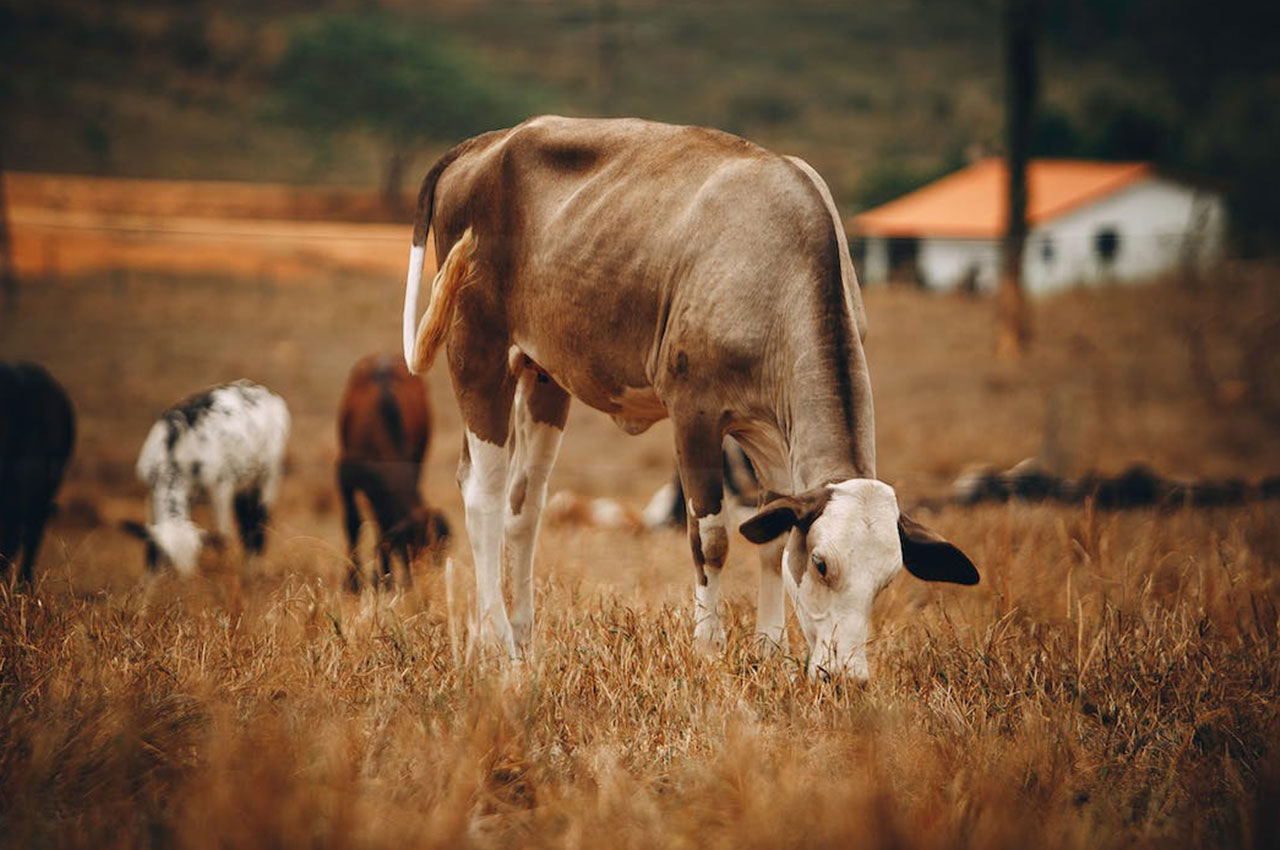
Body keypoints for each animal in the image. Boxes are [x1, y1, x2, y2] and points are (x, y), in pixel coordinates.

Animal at [121, 378, 288, 573]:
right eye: (169, 559)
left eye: (194, 558)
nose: (184, 578)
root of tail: (262, 390)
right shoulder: (150, 492)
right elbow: (150, 546)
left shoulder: (221, 487)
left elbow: (222, 537)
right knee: (245, 518)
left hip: (269, 471)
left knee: (259, 517)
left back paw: (253, 568)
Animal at [337, 350, 448, 591]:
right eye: (410, 546)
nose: (416, 582)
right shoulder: (344, 476)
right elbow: (353, 524)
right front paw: (352, 583)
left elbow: (382, 525)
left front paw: (383, 578)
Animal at [404, 116, 972, 681]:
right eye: (822, 564)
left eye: (888, 580)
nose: (846, 678)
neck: (777, 267)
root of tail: (490, 141)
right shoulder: (694, 414)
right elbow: (712, 539)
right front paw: (709, 649)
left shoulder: (770, 435)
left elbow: (769, 539)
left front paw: (770, 650)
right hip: (476, 352)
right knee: (484, 496)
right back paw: (496, 645)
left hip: (543, 376)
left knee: (524, 504)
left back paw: (520, 643)